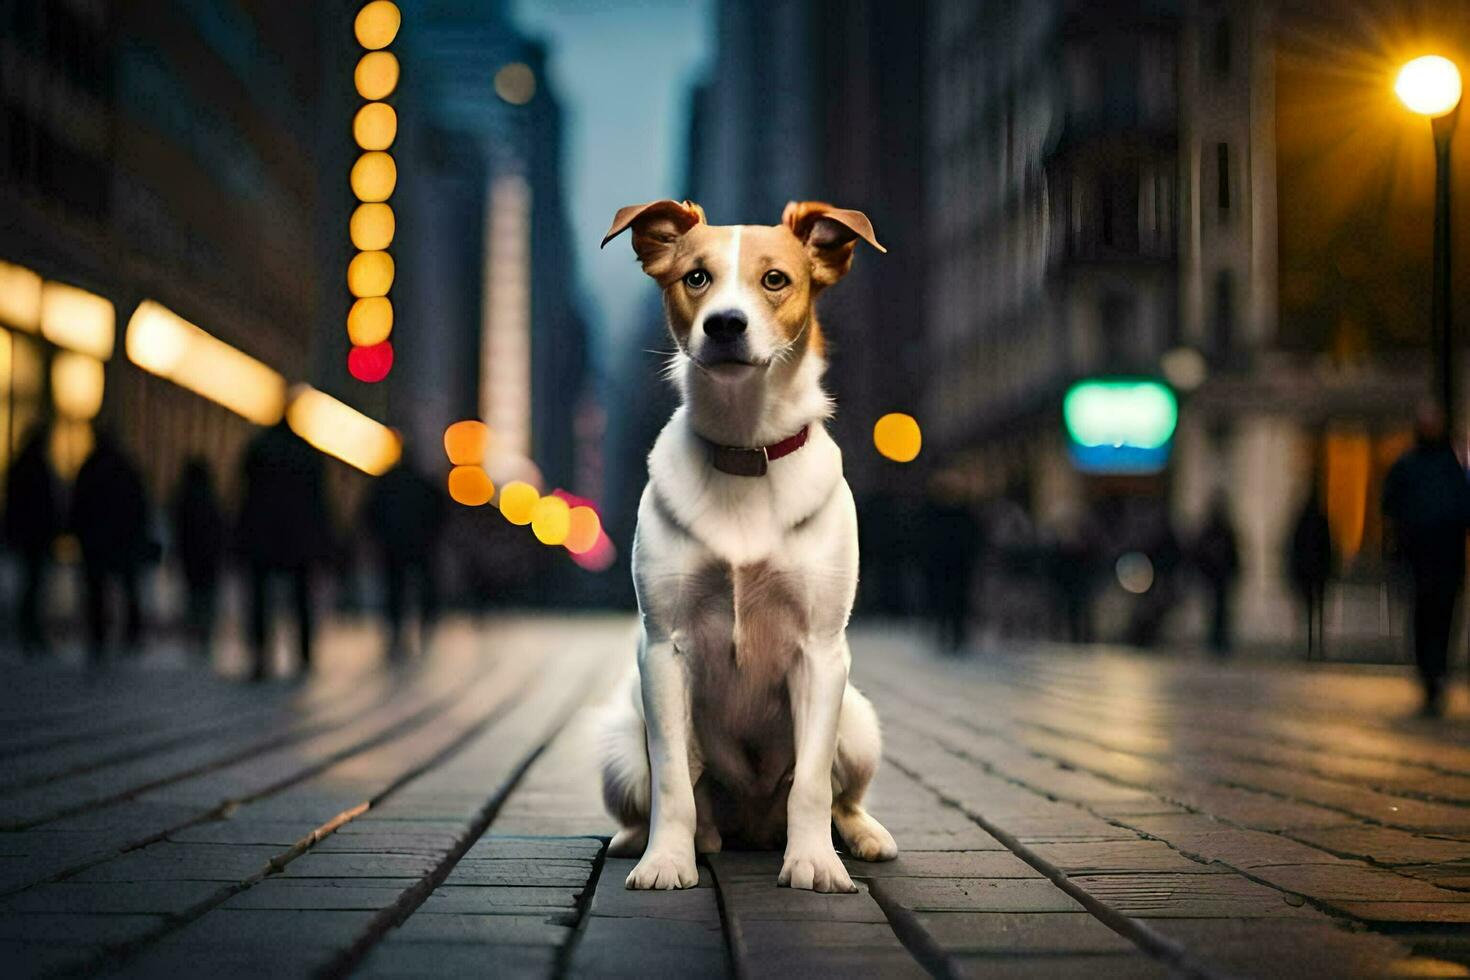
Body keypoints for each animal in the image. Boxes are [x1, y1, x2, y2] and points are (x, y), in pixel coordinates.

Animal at [596, 201, 893, 899]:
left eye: (776, 279)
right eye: (696, 278)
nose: (725, 323)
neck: (744, 448)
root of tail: (753, 826)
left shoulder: (820, 652)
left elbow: (811, 785)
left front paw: (814, 863)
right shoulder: (664, 649)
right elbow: (673, 781)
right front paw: (666, 861)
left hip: (859, 722)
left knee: (841, 797)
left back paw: (864, 838)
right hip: (619, 745)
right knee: (666, 795)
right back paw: (652, 840)